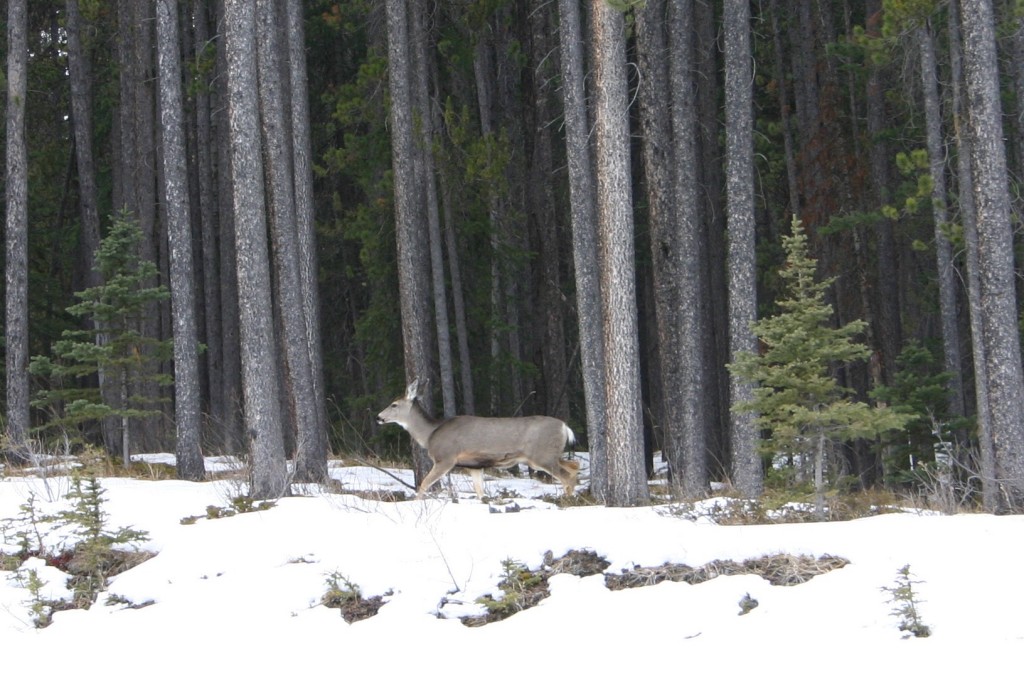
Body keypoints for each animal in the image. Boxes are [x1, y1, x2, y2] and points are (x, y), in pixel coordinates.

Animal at [376, 379, 580, 499]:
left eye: (394, 404)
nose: (378, 417)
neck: (430, 434)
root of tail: (565, 427)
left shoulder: (446, 458)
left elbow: (423, 484)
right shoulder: (474, 466)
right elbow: (480, 492)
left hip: (541, 455)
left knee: (566, 477)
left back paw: (567, 501)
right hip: (548, 456)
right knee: (574, 466)